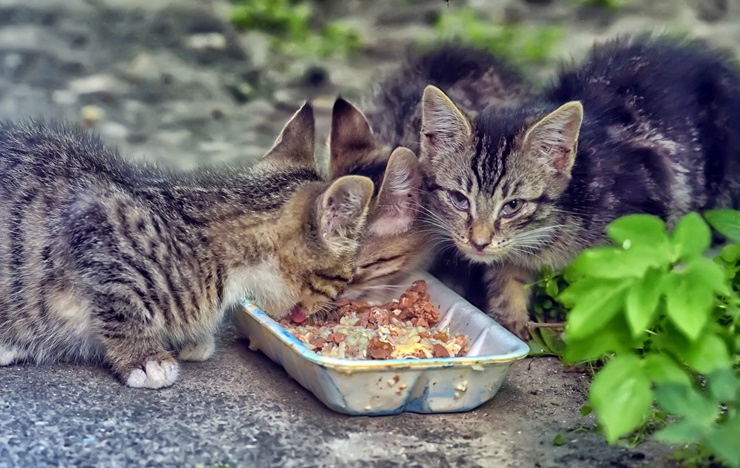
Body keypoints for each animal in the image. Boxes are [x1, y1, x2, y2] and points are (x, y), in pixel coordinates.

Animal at [0, 104, 376, 390]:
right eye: (345, 277)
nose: (330, 308)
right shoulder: (97, 224)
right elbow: (120, 308)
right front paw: (144, 358)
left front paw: (188, 338)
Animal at [420, 33, 740, 340]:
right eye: (459, 199)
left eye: (513, 205)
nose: (479, 243)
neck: (554, 228)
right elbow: (508, 275)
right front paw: (509, 318)